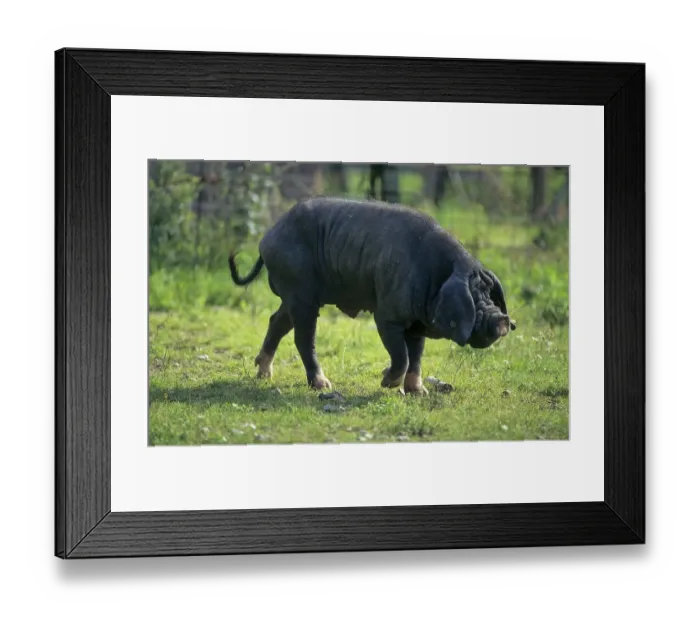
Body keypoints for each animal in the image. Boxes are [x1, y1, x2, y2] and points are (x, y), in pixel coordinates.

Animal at [228, 197, 516, 395]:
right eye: (474, 299)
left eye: (490, 295)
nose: (503, 319)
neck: (436, 276)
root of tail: (267, 239)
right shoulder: (387, 315)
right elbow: (402, 355)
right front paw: (387, 382)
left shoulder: (418, 322)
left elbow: (416, 357)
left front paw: (419, 392)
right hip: (301, 291)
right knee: (303, 337)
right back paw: (323, 385)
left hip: (294, 295)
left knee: (277, 320)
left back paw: (264, 374)